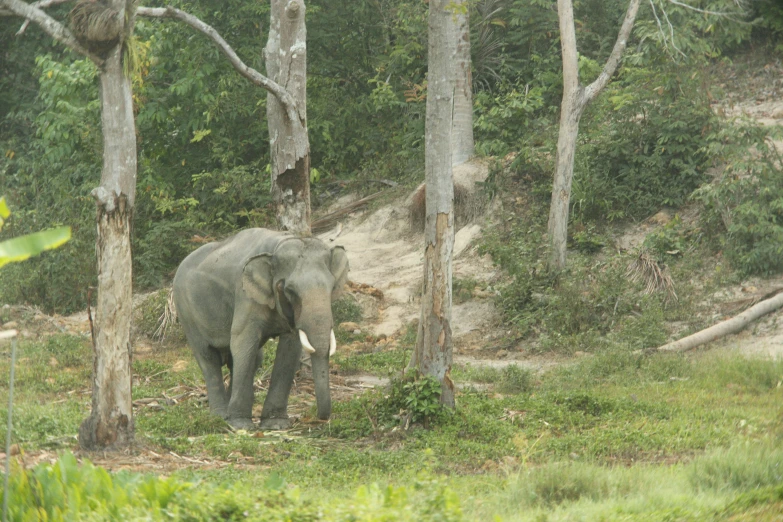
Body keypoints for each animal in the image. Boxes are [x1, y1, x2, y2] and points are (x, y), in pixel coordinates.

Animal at [176, 230, 350, 428]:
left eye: (332, 287)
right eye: (290, 290)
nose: (321, 417)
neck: (278, 245)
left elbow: (290, 347)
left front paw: (276, 425)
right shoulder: (245, 296)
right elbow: (243, 341)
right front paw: (240, 425)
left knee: (250, 358)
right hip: (186, 312)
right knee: (208, 358)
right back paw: (220, 416)